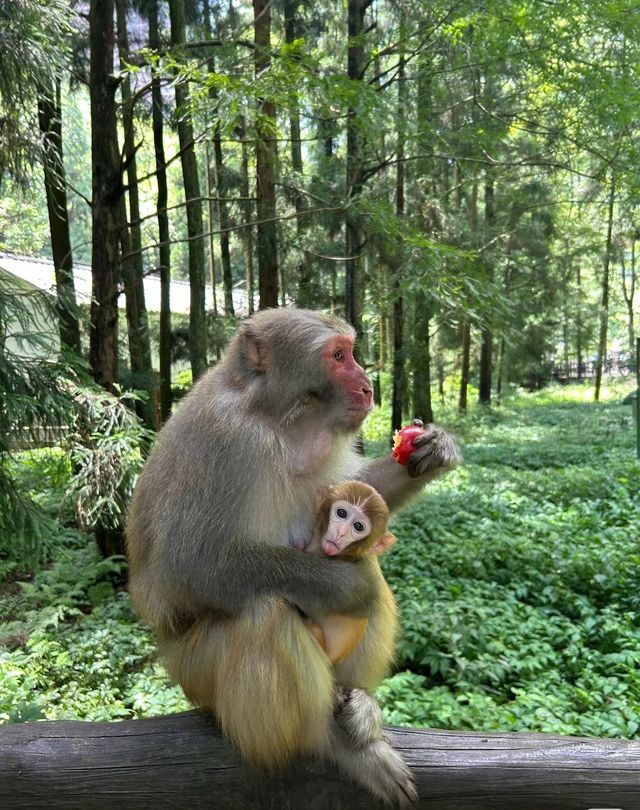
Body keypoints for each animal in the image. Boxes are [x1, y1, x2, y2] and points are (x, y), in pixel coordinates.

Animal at [126, 308, 460, 800]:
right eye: (338, 356)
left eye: (351, 351)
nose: (367, 385)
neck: (279, 419)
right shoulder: (229, 442)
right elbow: (192, 565)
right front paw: (348, 586)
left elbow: (358, 494)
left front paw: (433, 450)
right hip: (194, 673)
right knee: (266, 614)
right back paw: (328, 743)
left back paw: (358, 702)